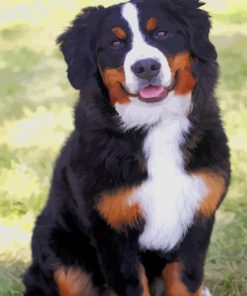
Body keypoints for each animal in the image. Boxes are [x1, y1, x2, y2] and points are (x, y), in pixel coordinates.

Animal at [22, 0, 230, 296]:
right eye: (116, 43)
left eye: (161, 34)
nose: (146, 67)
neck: (155, 124)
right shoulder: (112, 232)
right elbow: (131, 284)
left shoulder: (197, 220)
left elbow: (186, 280)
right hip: (58, 251)